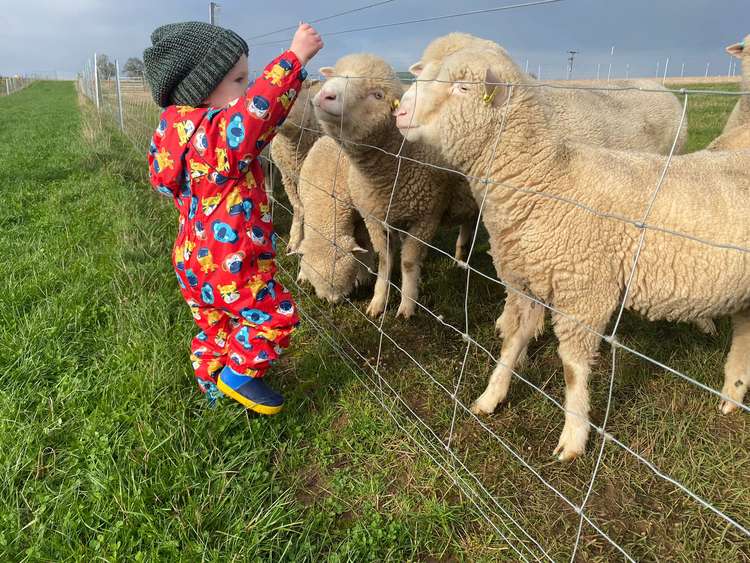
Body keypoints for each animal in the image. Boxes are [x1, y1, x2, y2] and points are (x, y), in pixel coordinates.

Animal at [312, 54, 478, 320]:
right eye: (335, 75)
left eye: (378, 95)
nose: (326, 94)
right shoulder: (377, 219)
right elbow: (384, 262)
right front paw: (378, 302)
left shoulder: (426, 217)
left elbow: (408, 263)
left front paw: (407, 307)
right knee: (468, 223)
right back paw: (460, 258)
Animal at [396, 47, 750, 462]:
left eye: (462, 87)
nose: (399, 112)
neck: (545, 180)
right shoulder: (526, 283)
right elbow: (512, 340)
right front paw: (491, 396)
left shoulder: (584, 295)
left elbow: (572, 369)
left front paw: (574, 437)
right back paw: (731, 396)